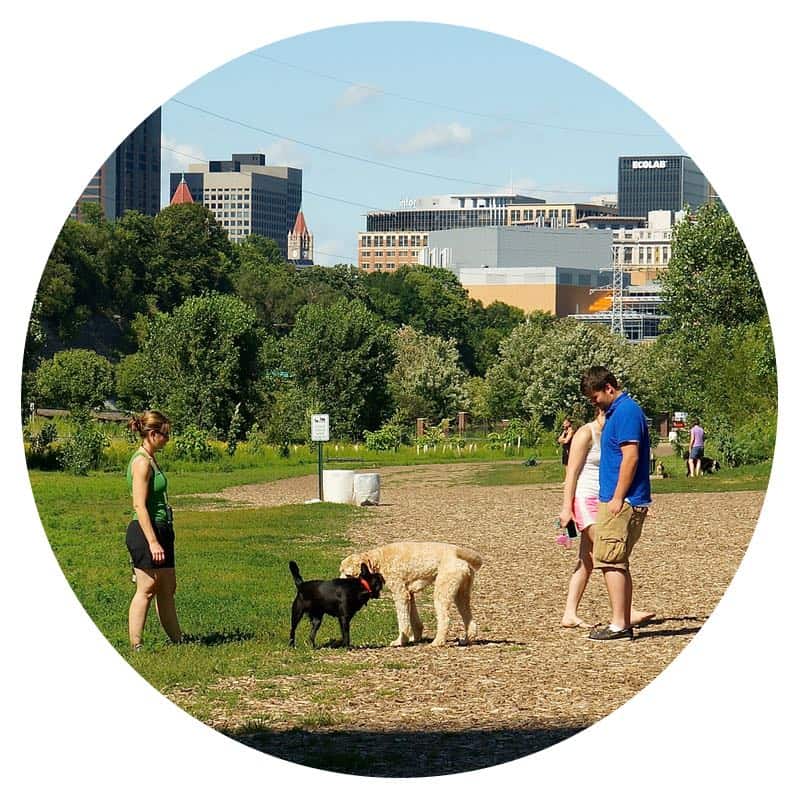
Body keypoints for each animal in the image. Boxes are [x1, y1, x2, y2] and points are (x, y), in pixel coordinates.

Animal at [338, 540, 482, 648]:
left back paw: (437, 642)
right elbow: (414, 620)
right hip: (461, 595)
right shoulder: (409, 595)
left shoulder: (400, 594)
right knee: (470, 620)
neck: (379, 560)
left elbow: (403, 621)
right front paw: (415, 638)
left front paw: (401, 641)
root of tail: (458, 554)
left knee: (445, 619)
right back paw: (466, 640)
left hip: (442, 592)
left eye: (348, 574)